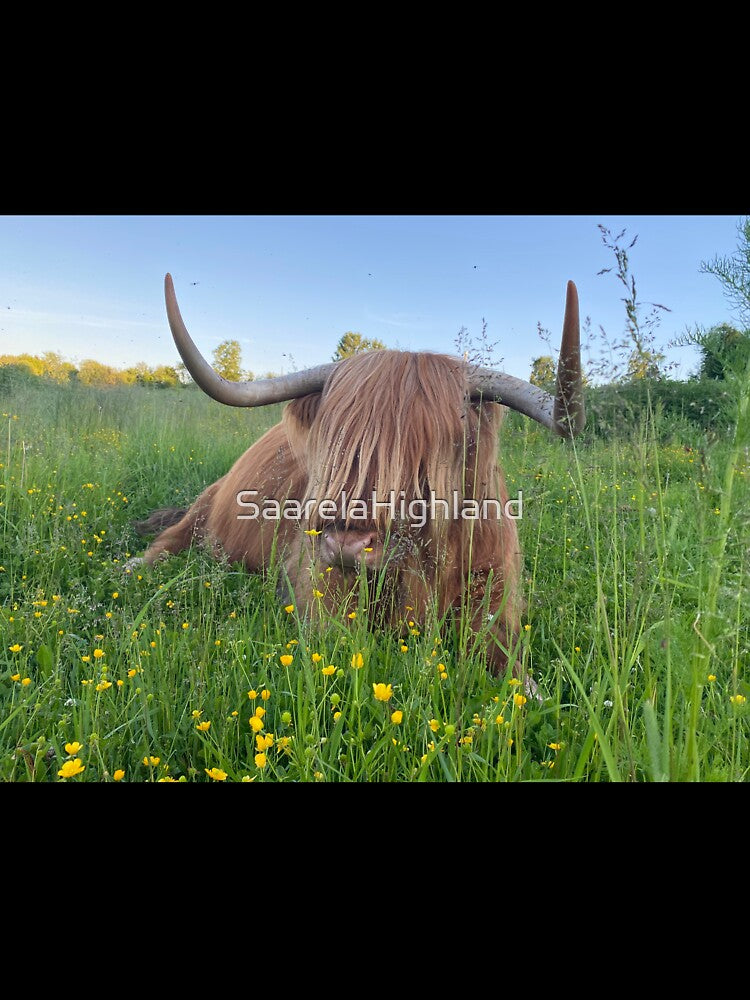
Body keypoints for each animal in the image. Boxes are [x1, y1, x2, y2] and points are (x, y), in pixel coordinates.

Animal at [127, 274, 584, 677]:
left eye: (435, 450)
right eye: (335, 443)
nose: (347, 544)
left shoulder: (494, 599)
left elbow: (515, 676)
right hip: (204, 507)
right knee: (168, 542)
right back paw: (131, 568)